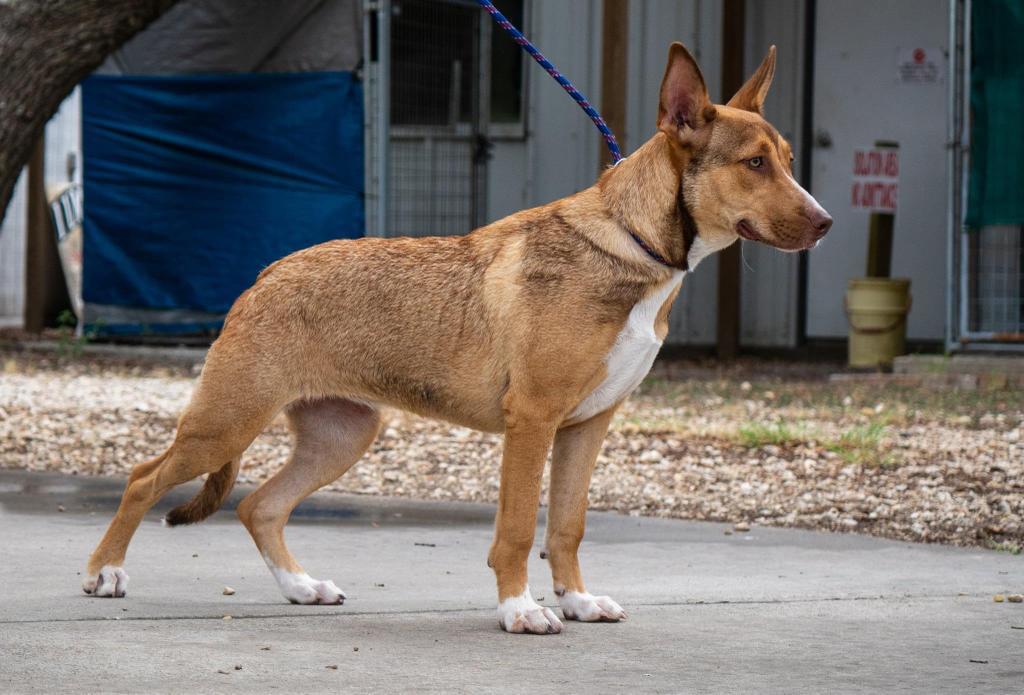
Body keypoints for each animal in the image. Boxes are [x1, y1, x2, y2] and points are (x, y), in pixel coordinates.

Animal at [81, 40, 831, 634]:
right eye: (754, 164)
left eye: (788, 158)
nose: (824, 224)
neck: (633, 243)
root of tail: (266, 274)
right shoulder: (533, 420)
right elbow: (517, 529)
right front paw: (521, 609)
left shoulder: (587, 426)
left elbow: (567, 525)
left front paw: (576, 600)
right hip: (226, 421)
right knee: (145, 478)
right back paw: (105, 572)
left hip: (340, 434)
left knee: (260, 506)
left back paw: (301, 587)